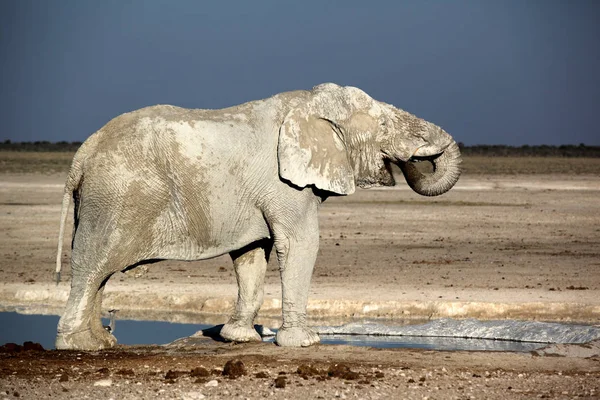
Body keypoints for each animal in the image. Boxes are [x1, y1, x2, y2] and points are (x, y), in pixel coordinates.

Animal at [55, 82, 460, 350]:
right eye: (384, 127)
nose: (414, 159)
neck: (308, 103)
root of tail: (83, 153)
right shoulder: (284, 184)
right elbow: (300, 243)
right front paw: (305, 342)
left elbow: (251, 253)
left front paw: (240, 338)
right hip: (117, 195)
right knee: (93, 265)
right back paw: (81, 346)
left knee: (100, 272)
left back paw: (101, 342)